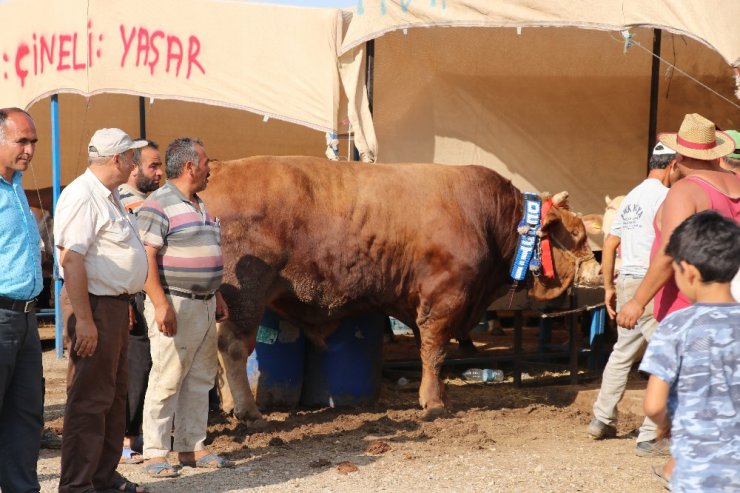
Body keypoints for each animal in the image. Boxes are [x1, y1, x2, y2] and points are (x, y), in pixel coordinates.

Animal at [202, 156, 600, 420]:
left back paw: (230, 405)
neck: (485, 217)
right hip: (246, 295)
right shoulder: (445, 298)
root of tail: (218, 169)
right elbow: (434, 351)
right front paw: (434, 402)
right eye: (575, 232)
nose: (597, 267)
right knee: (233, 348)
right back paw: (248, 411)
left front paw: (440, 397)